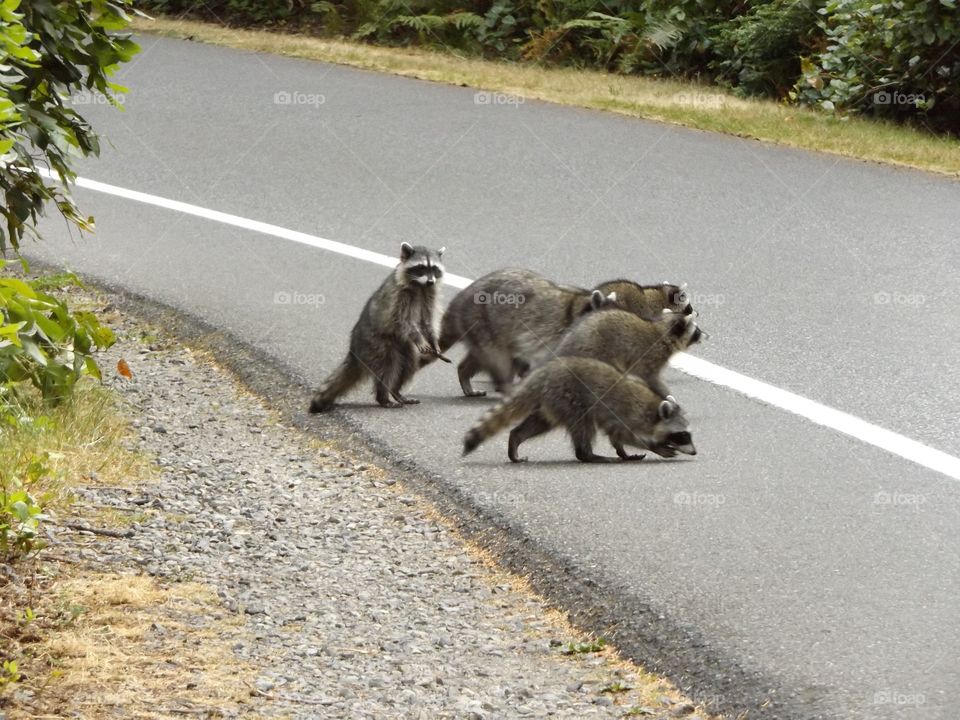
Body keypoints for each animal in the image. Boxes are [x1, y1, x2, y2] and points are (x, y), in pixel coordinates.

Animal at [309, 242, 445, 412]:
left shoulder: (430, 295)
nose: (431, 281)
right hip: (377, 342)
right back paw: (383, 396)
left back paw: (396, 391)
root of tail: (354, 348)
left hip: (402, 344)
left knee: (410, 361)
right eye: (421, 267)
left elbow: (427, 321)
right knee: (388, 366)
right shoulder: (399, 296)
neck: (421, 285)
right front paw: (418, 337)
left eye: (434, 268)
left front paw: (433, 340)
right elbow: (403, 320)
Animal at [462, 356, 696, 463]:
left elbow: (617, 438)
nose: (695, 451)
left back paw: (516, 438)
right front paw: (656, 446)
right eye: (683, 435)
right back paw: (588, 455)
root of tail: (545, 373)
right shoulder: (625, 414)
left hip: (552, 401)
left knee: (540, 423)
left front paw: (623, 452)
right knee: (583, 425)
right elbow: (624, 434)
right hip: (570, 397)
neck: (653, 410)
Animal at [555, 308, 702, 398]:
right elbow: (651, 378)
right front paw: (666, 395)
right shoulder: (651, 357)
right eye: (696, 331)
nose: (705, 335)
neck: (662, 330)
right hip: (594, 350)